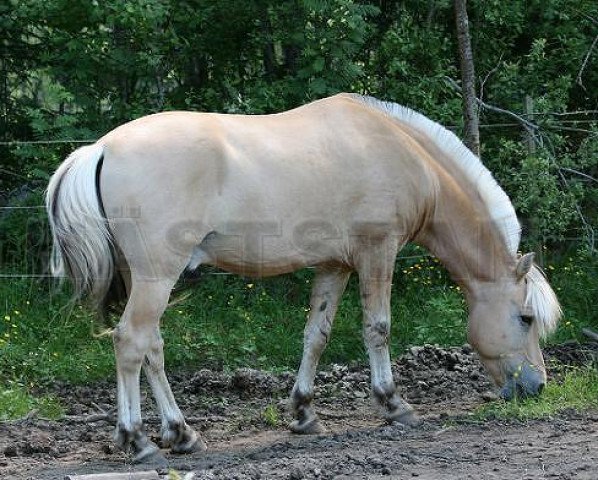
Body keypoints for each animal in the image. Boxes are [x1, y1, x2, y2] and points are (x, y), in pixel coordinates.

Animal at [45, 93, 564, 462]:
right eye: (525, 318)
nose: (536, 387)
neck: (400, 152)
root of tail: (102, 148)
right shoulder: (377, 252)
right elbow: (378, 328)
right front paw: (393, 405)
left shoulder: (334, 265)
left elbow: (317, 335)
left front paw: (304, 413)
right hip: (157, 277)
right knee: (131, 342)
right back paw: (138, 441)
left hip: (146, 280)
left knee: (151, 347)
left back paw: (182, 433)